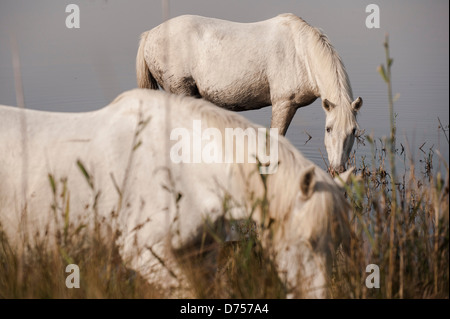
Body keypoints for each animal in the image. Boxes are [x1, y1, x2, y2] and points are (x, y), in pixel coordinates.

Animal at [136, 13, 362, 175]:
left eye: (353, 131)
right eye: (328, 129)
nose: (337, 170)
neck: (301, 53)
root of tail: (149, 34)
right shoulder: (283, 104)